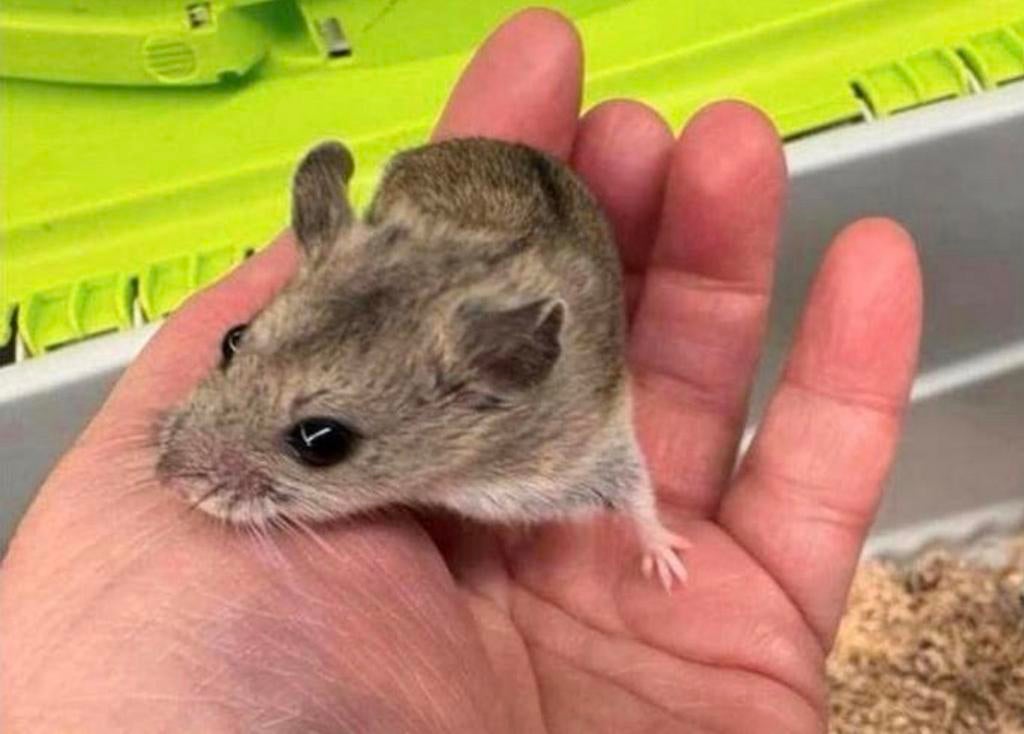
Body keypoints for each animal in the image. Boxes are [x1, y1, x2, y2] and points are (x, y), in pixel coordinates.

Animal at [157, 137, 689, 589]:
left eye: (322, 441)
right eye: (232, 339)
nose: (171, 481)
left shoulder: (585, 457)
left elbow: (638, 498)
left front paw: (672, 569)